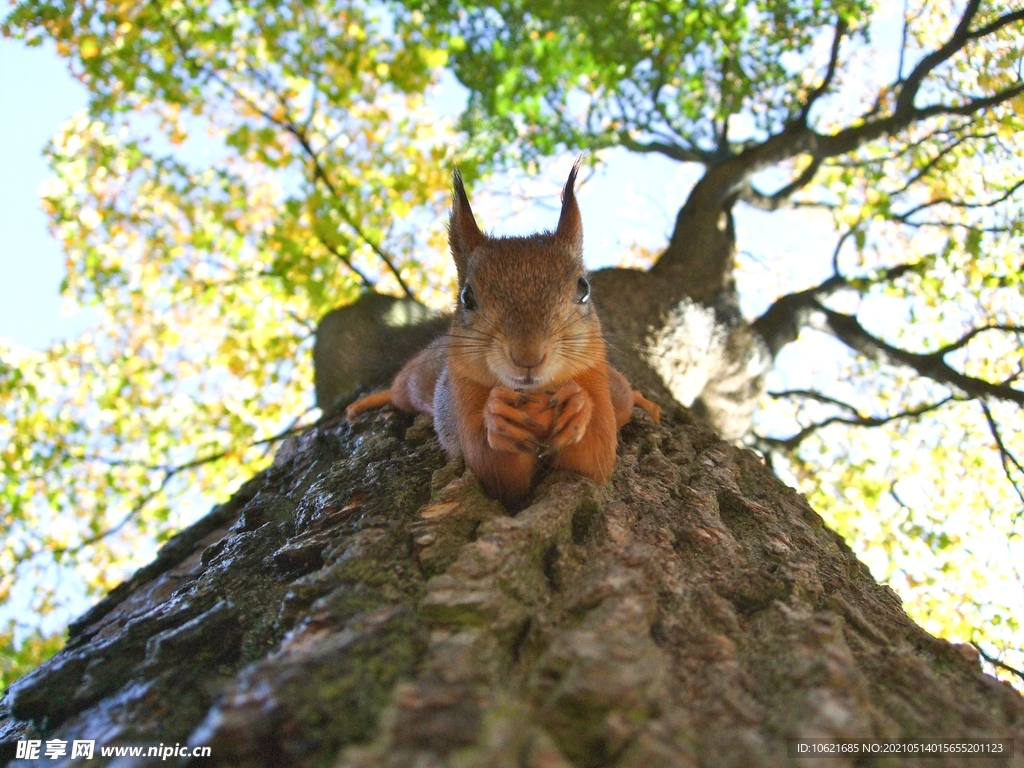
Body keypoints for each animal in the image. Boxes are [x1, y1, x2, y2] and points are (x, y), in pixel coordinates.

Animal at [348, 159, 659, 507]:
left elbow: (594, 460)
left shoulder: (595, 379)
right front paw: (498, 417)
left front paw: (578, 405)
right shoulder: (463, 395)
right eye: (467, 297)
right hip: (417, 381)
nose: (528, 356)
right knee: (399, 390)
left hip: (615, 388)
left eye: (584, 289)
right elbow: (496, 473)